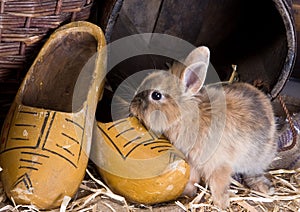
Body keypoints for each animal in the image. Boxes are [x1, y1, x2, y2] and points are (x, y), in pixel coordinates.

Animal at [129, 46, 276, 209]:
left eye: (156, 95)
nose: (132, 104)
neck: (185, 116)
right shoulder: (191, 161)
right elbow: (192, 179)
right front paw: (187, 194)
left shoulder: (219, 164)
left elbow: (219, 184)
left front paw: (221, 204)